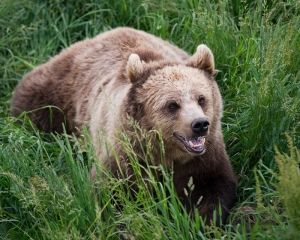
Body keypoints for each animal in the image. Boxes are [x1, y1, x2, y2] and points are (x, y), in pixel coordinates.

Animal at [10, 27, 237, 223]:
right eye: (172, 105)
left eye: (201, 98)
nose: (200, 124)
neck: (164, 153)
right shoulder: (125, 155)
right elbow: (109, 193)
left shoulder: (204, 158)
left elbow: (213, 188)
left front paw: (201, 220)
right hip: (57, 92)